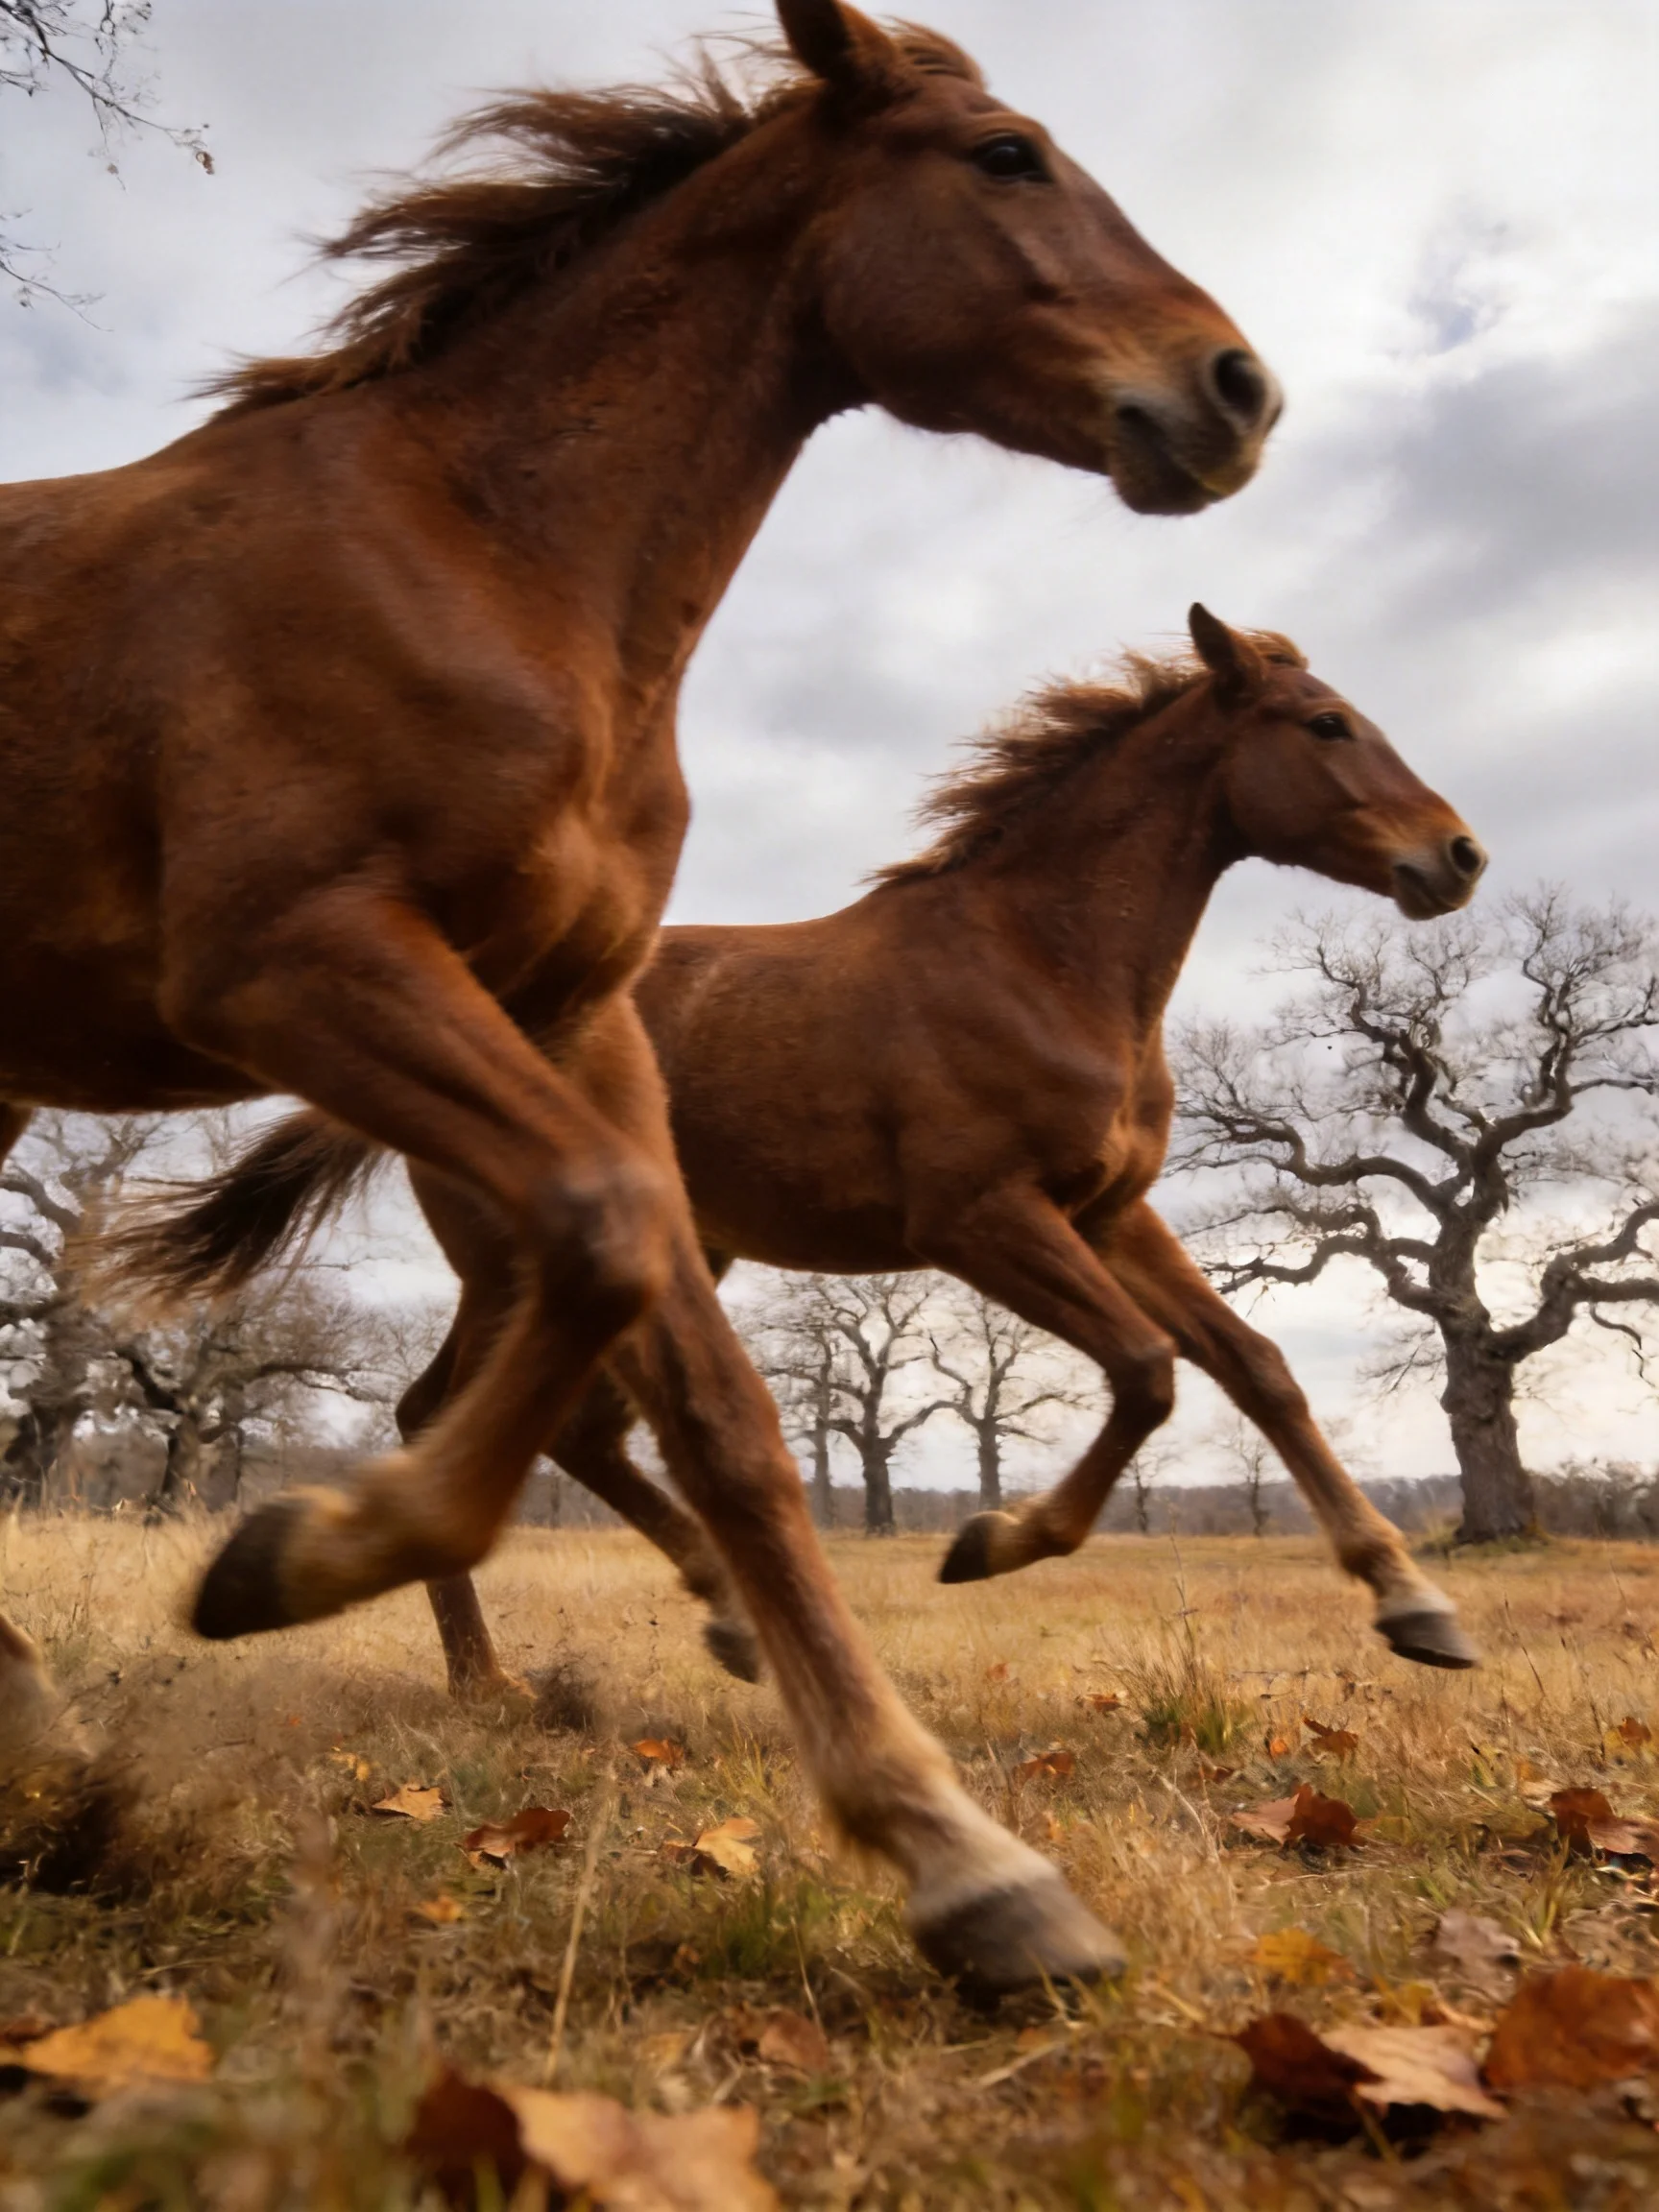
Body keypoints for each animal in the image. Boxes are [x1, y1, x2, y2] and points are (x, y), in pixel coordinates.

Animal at [0, 0, 1280, 1994]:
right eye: (1002, 155)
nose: (1233, 389)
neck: (482, 551)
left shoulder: (575, 1015)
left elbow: (728, 1415)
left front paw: (964, 1858)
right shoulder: (294, 955)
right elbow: (601, 1241)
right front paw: (297, 1553)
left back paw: (54, 1743)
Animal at [111, 608, 1487, 1710]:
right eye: (1325, 724)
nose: (1460, 855)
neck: (1038, 965)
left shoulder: (1111, 1213)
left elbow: (1258, 1369)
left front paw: (1416, 1607)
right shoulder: (980, 1217)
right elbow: (1148, 1371)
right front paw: (990, 1541)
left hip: (682, 1256)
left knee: (577, 1433)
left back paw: (693, 1622)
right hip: (513, 1261)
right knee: (449, 1412)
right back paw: (483, 1670)